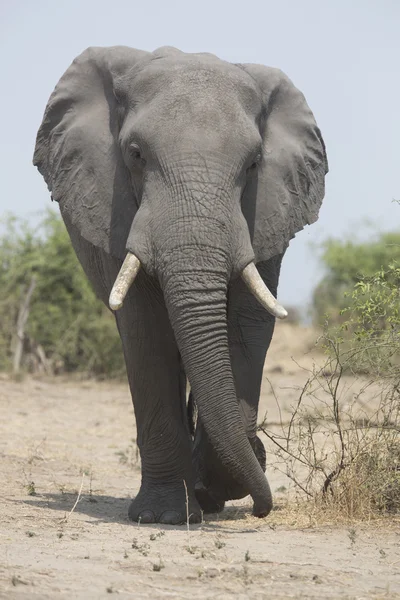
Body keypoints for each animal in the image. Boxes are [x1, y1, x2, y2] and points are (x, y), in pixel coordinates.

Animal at [33, 45, 328, 524]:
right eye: (135, 154)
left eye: (254, 164)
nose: (262, 510)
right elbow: (148, 333)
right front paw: (164, 516)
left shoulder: (267, 211)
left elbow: (245, 327)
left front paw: (222, 485)